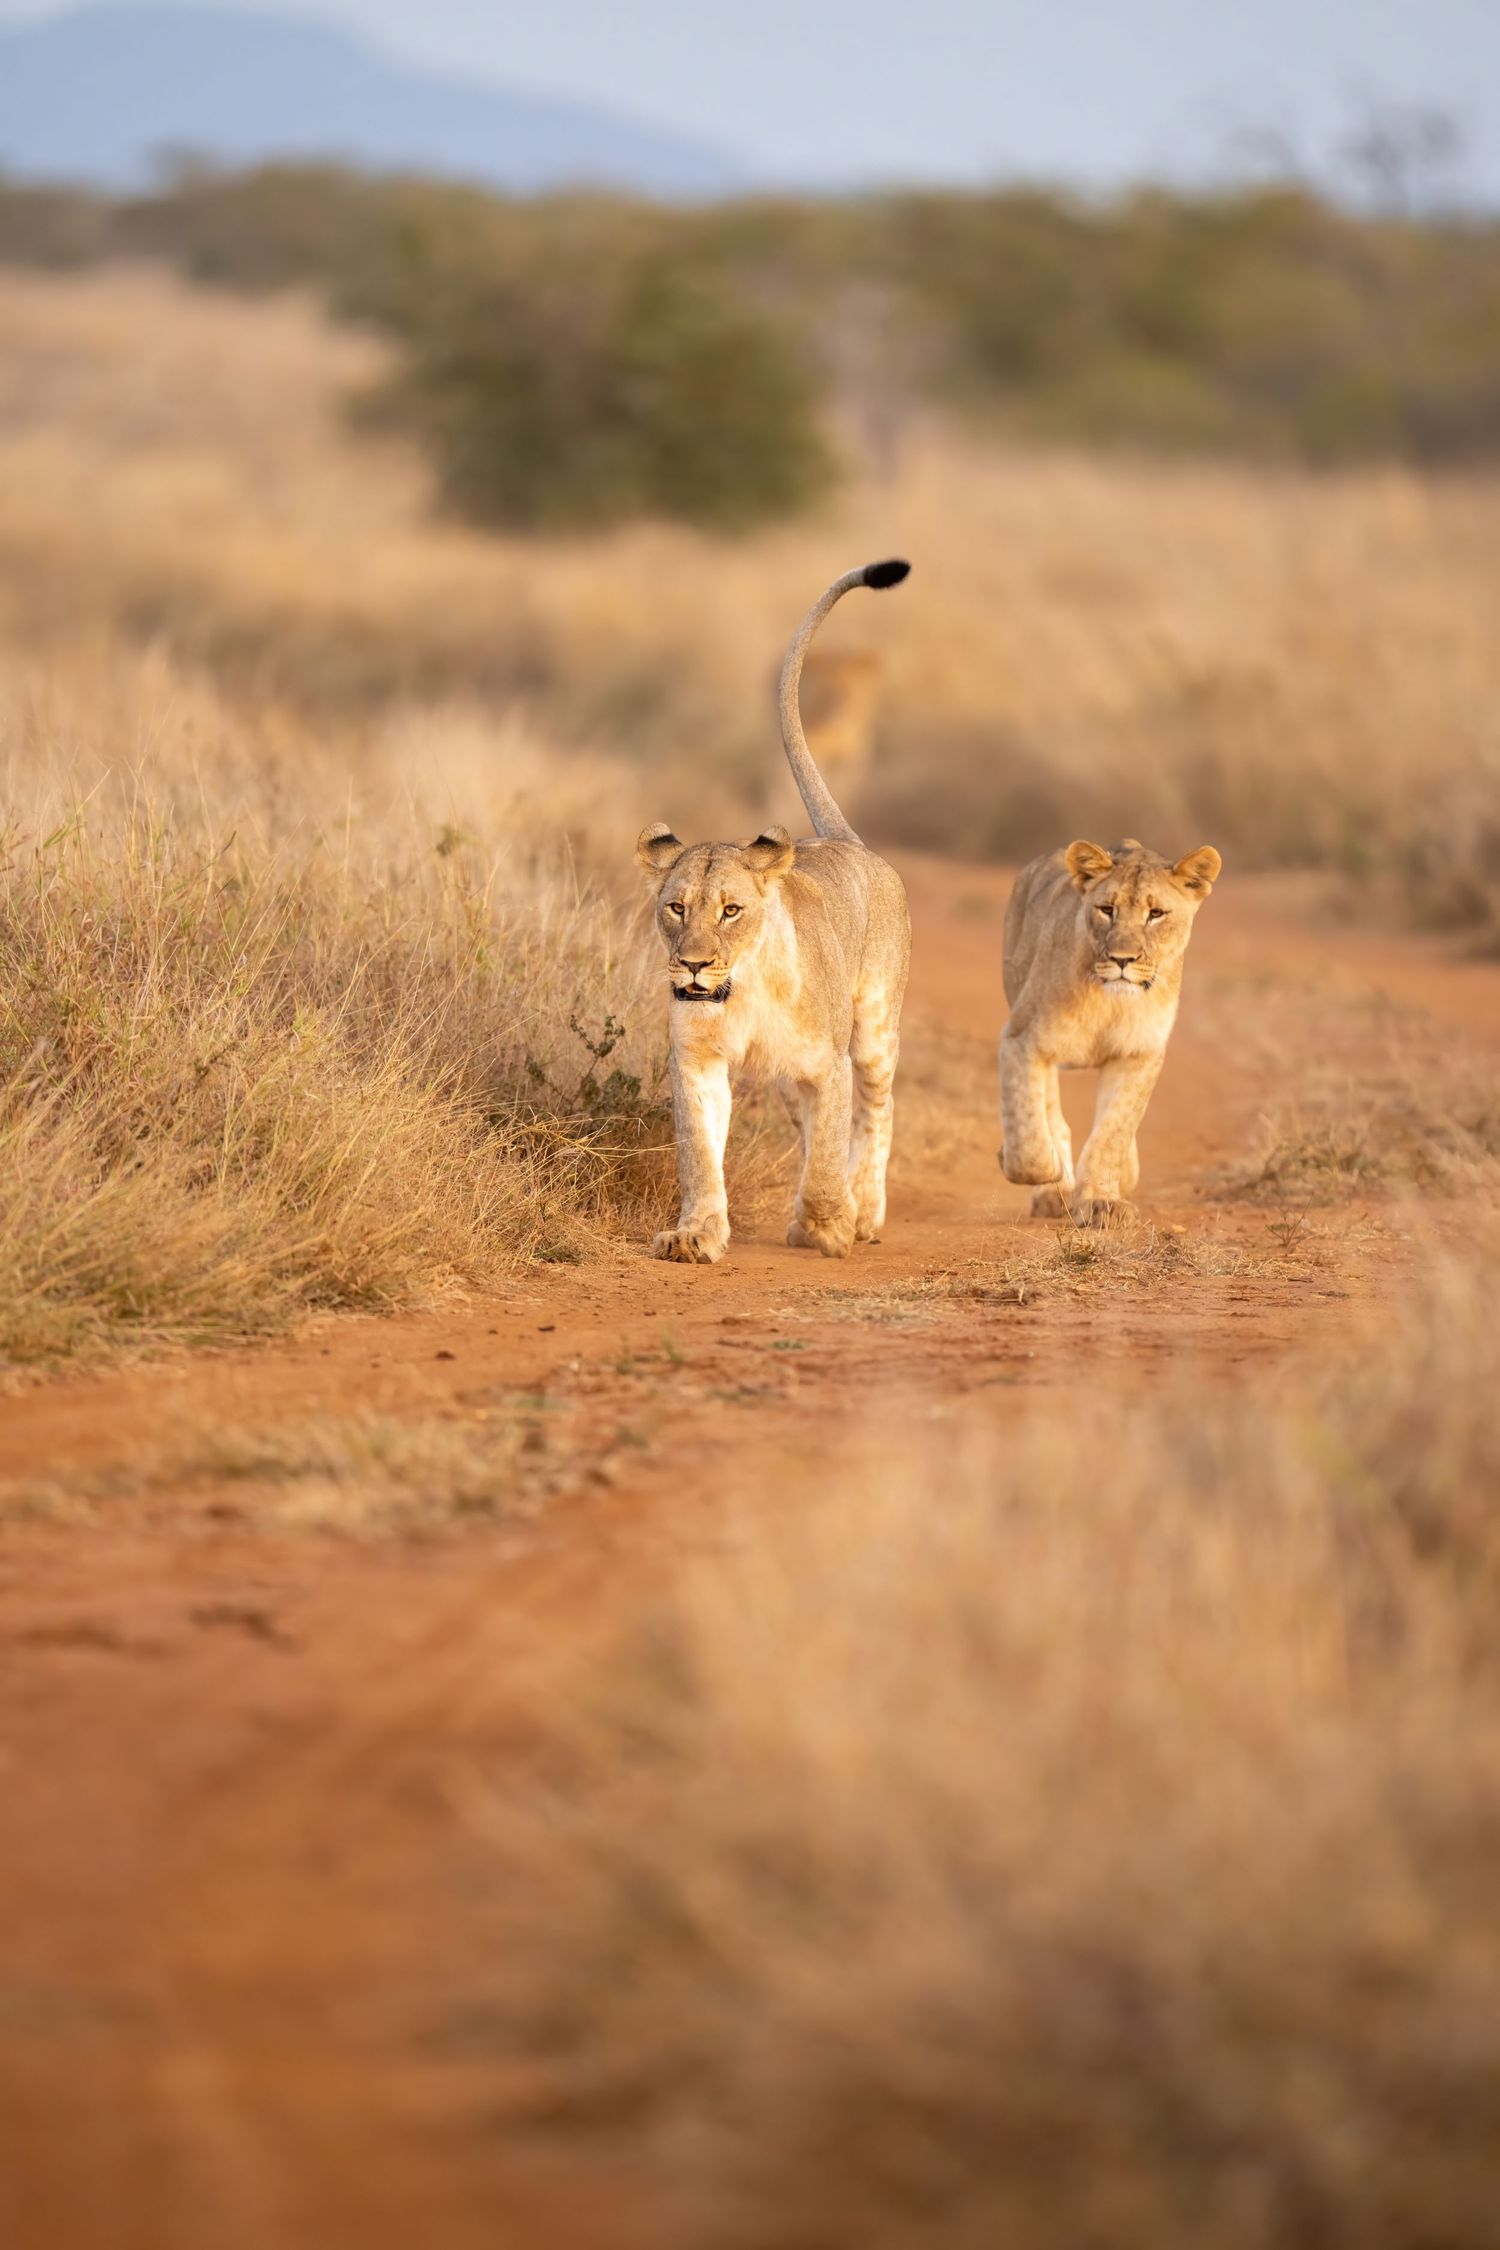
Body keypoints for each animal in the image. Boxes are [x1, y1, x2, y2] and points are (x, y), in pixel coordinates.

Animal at [637, 561, 913, 1266]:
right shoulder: (698, 1062)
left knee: (875, 1111)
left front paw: (830, 1225)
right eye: (676, 907)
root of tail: (847, 840)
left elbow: (831, 1151)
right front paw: (696, 1235)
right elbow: (700, 1156)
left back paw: (864, 1213)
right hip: (792, 1078)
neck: (742, 988)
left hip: (874, 1028)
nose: (693, 967)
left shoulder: (826, 1063)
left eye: (732, 910)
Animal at [999, 836, 1222, 1227]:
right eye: (1106, 909)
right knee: (1050, 1114)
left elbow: (1113, 1131)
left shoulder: (1139, 1054)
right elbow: (1029, 1134)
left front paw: (1100, 1202)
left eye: (1156, 914)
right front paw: (1049, 1171)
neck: (1111, 1002)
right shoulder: (1021, 1040)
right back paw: (1054, 1190)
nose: (1122, 959)